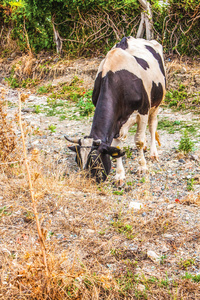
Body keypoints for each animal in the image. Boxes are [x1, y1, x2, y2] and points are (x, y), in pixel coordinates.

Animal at [65, 36, 166, 184]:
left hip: (156, 104)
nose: (85, 183)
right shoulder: (117, 121)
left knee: (152, 126)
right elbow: (118, 147)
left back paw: (153, 153)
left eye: (95, 161)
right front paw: (119, 175)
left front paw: (142, 167)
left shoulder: (142, 111)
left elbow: (139, 141)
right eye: (77, 160)